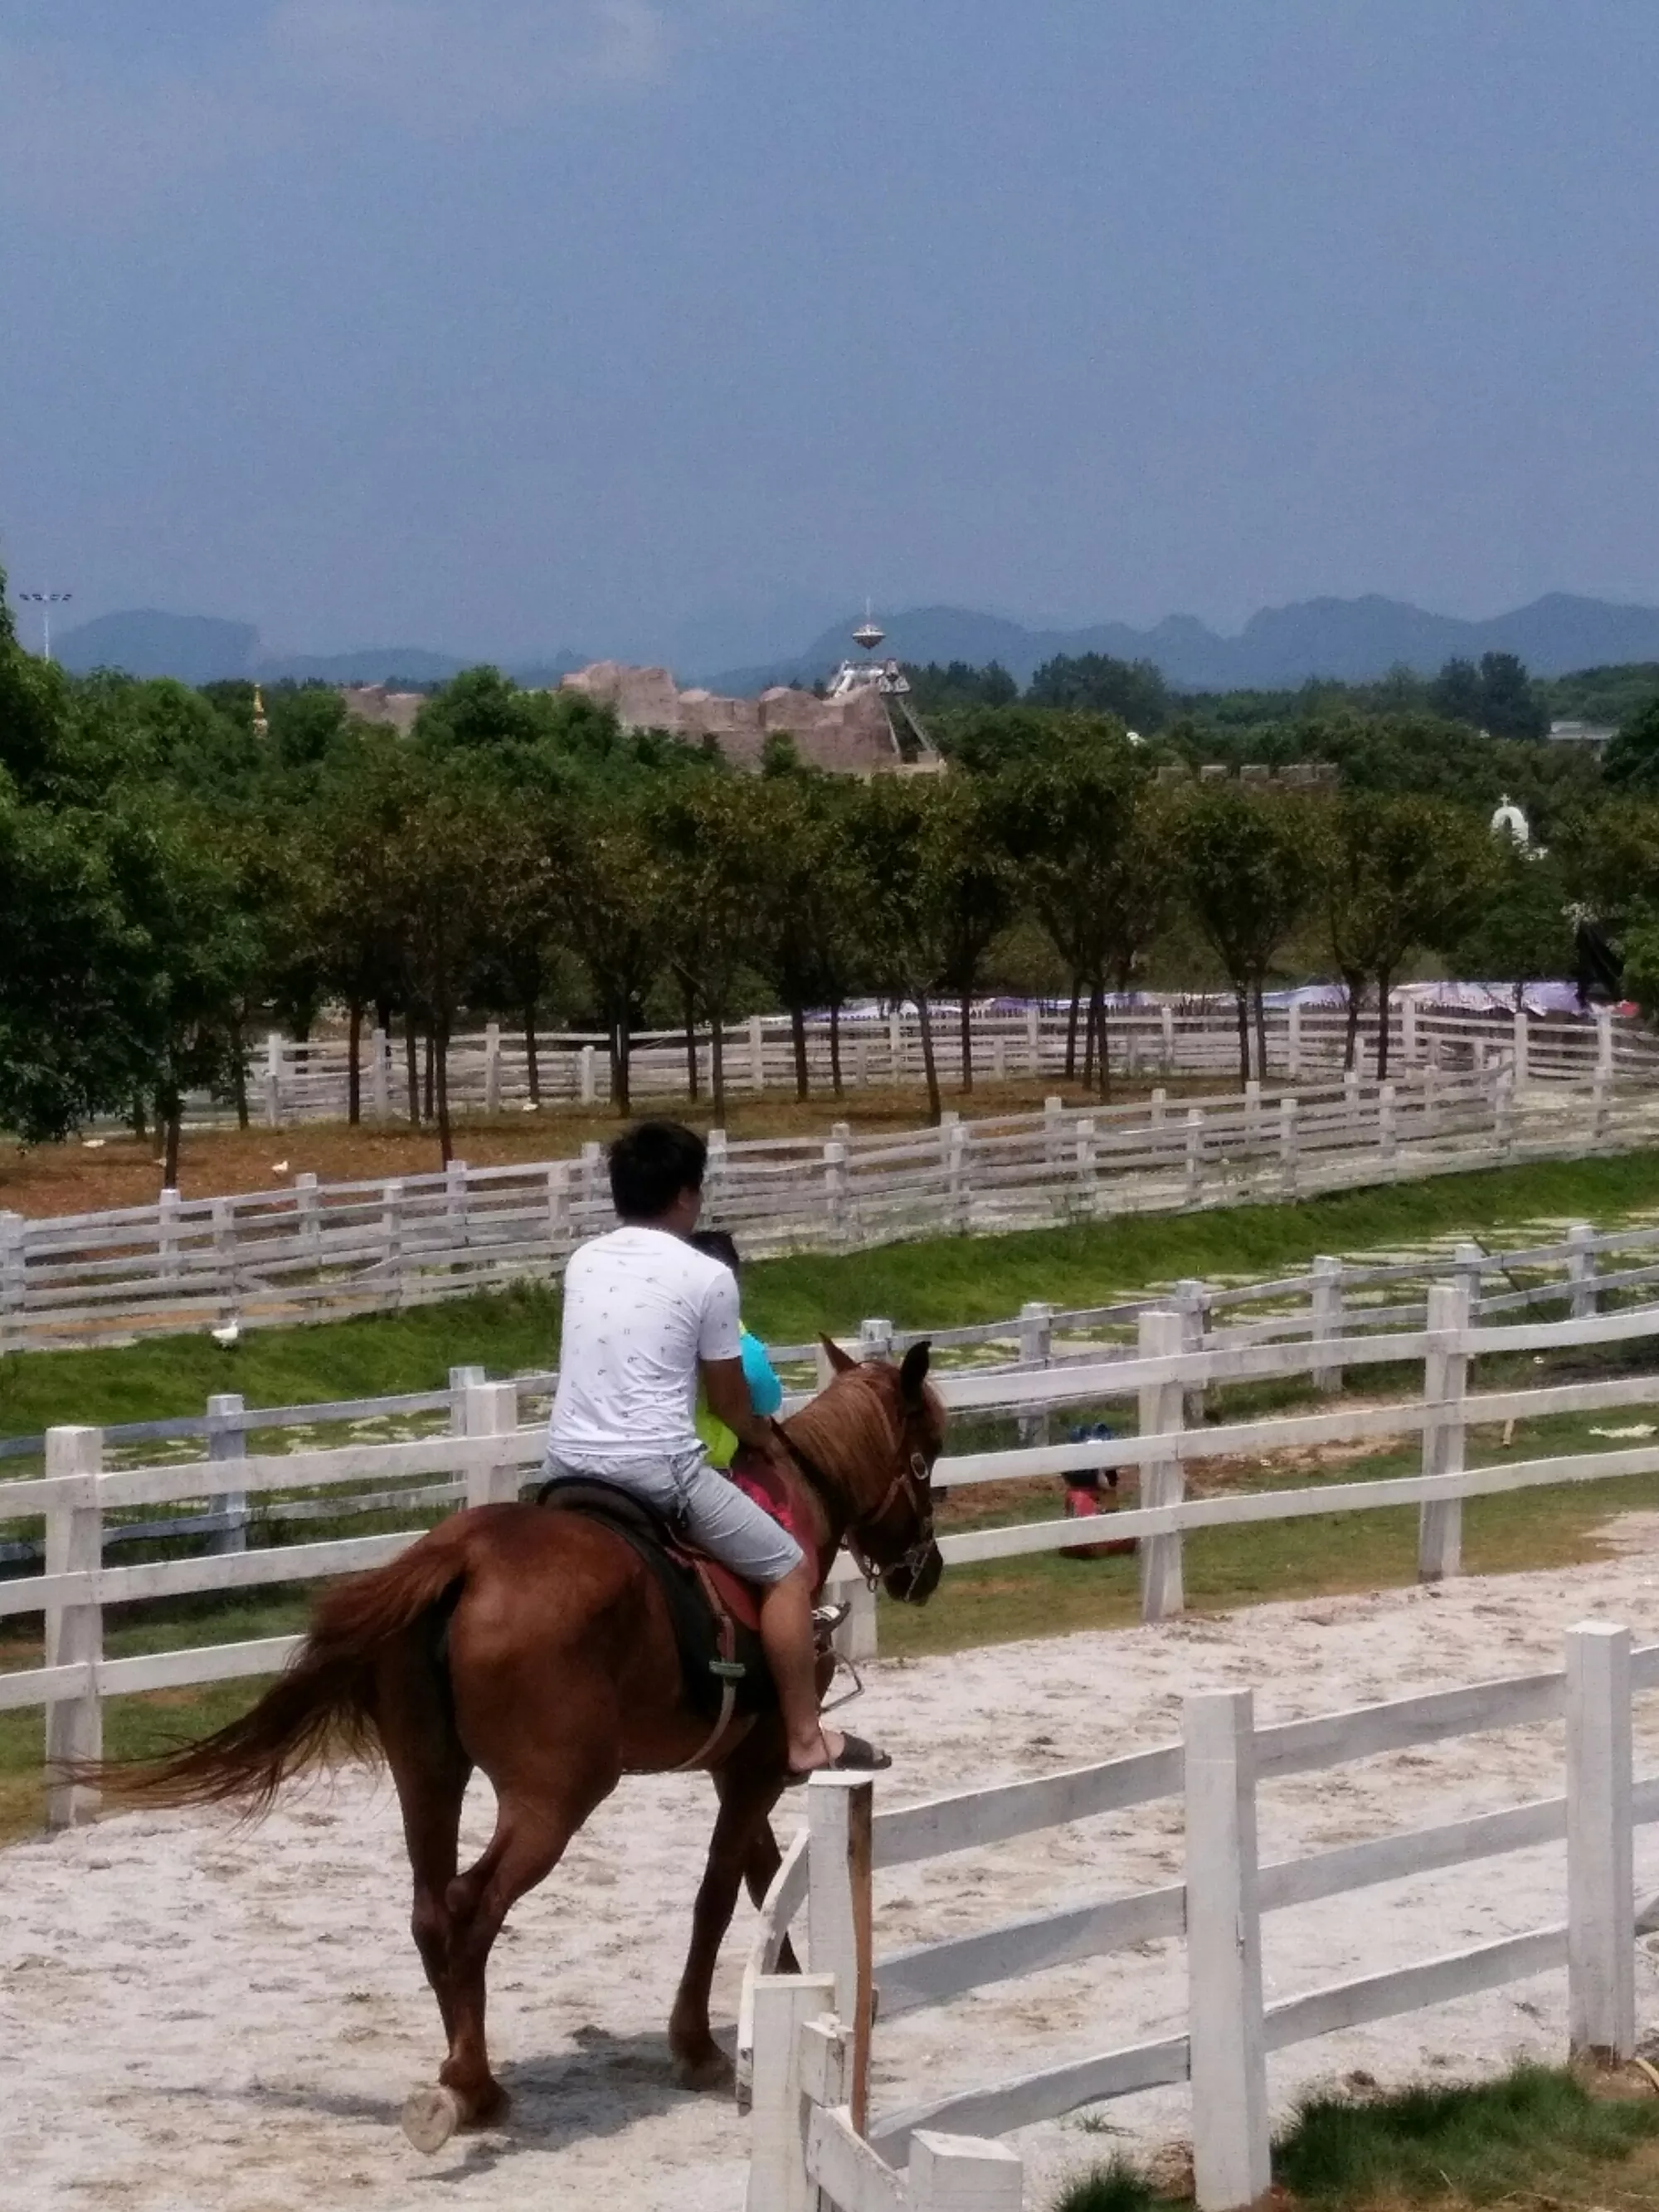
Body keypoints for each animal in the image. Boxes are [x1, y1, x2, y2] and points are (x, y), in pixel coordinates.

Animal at [90, 1335, 946, 2150]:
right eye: (926, 1456)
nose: (926, 1571)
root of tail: (464, 1557)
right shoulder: (760, 1762)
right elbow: (719, 1892)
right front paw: (698, 2043)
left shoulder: (734, 1763)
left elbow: (760, 1875)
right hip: (554, 1798)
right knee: (474, 1903)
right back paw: (472, 2085)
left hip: (427, 1774)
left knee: (431, 1909)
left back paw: (466, 2076)